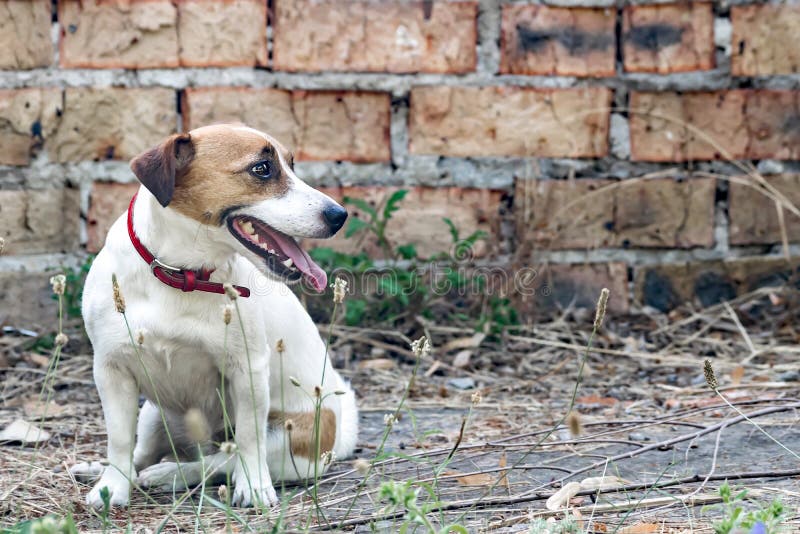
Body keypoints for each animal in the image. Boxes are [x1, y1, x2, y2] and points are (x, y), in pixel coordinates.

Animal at [72, 124, 360, 510]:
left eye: (292, 164)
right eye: (262, 168)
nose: (339, 215)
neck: (180, 274)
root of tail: (337, 429)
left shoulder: (247, 369)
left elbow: (248, 441)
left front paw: (254, 487)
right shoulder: (111, 369)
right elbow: (118, 440)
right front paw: (111, 486)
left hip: (288, 439)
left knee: (220, 459)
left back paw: (171, 474)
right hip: (153, 413)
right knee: (142, 453)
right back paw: (107, 470)